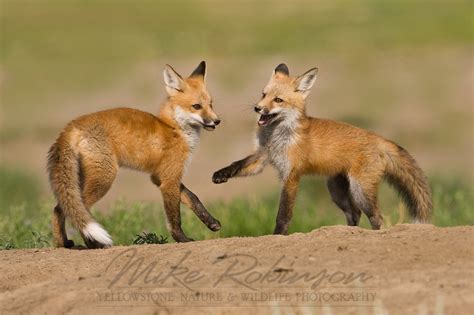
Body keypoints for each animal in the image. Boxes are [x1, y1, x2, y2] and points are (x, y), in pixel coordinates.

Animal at [47, 61, 221, 249]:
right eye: (197, 106)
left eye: (211, 104)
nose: (217, 121)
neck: (174, 128)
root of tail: (71, 126)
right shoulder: (169, 180)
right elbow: (174, 218)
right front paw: (182, 239)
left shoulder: (160, 177)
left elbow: (193, 197)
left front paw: (211, 223)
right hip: (104, 178)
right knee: (78, 210)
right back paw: (94, 244)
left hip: (82, 178)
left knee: (59, 208)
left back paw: (63, 243)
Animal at [213, 63, 432, 235]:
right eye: (263, 94)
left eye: (278, 100)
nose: (257, 108)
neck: (276, 137)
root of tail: (379, 138)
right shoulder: (262, 157)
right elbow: (238, 164)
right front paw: (220, 174)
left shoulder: (291, 175)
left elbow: (284, 214)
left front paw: (278, 235)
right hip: (336, 189)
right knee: (354, 213)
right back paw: (348, 232)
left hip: (360, 190)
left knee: (377, 216)